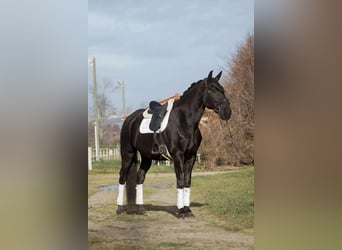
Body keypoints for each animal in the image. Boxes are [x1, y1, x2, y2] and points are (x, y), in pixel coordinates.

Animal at [116, 70, 231, 217]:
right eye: (211, 89)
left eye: (222, 89)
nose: (227, 111)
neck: (185, 121)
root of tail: (129, 119)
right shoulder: (178, 156)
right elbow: (180, 181)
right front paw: (181, 211)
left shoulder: (191, 157)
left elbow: (187, 181)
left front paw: (188, 210)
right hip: (127, 154)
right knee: (122, 177)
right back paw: (119, 208)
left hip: (147, 157)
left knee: (140, 178)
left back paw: (141, 210)